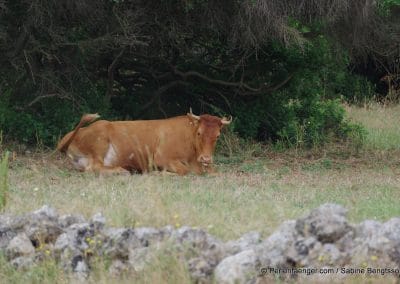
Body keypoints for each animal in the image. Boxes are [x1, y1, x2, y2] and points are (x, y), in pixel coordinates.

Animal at [56, 109, 231, 174]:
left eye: (218, 135)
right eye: (199, 133)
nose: (206, 158)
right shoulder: (161, 157)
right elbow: (185, 171)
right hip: (100, 140)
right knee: (94, 167)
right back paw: (123, 171)